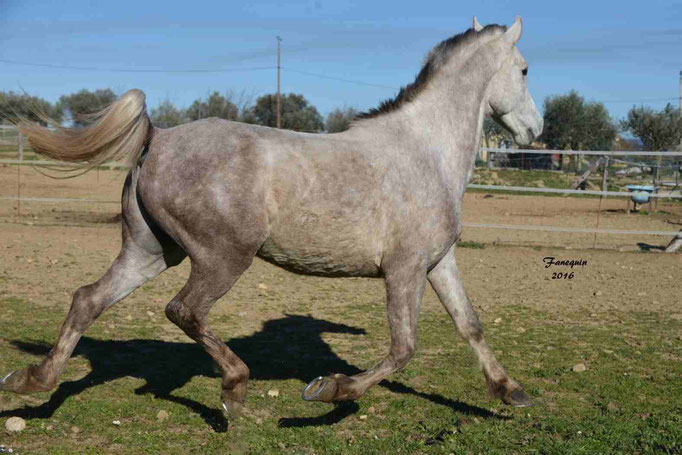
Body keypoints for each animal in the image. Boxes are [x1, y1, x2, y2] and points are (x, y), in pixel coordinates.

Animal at [1, 16, 540, 418]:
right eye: (525, 69)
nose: (534, 129)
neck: (425, 150)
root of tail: (159, 137)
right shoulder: (403, 269)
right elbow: (403, 347)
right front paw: (329, 389)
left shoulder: (438, 261)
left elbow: (470, 325)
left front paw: (509, 390)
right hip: (223, 256)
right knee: (184, 310)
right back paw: (235, 387)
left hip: (151, 251)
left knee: (88, 299)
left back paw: (32, 380)